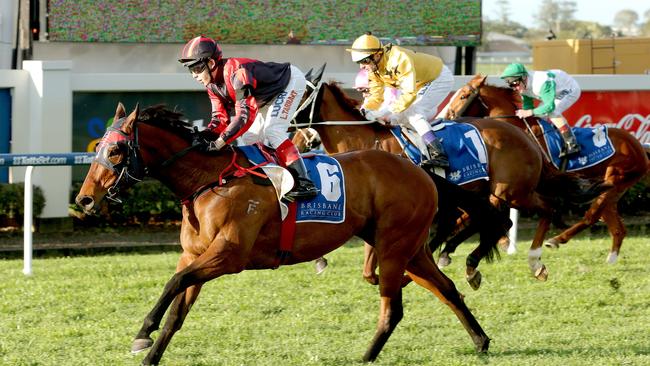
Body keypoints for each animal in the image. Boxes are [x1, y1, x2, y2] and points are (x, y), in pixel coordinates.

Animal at [73, 103, 486, 366]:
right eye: (100, 148)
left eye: (117, 149)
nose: (85, 200)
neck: (209, 180)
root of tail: (421, 171)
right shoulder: (196, 256)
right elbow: (177, 308)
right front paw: (150, 353)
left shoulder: (230, 255)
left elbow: (174, 283)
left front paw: (143, 331)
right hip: (409, 249)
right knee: (447, 289)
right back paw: (481, 341)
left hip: (393, 247)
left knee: (393, 308)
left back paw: (367, 356)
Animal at [288, 81, 604, 280]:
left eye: (299, 95)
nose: (297, 140)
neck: (366, 142)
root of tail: (524, 137)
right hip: (492, 193)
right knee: (501, 220)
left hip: (511, 192)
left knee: (539, 210)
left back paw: (533, 260)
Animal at [446, 74, 648, 264]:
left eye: (463, 95)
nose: (447, 116)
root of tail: (639, 146)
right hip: (611, 189)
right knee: (616, 226)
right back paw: (611, 259)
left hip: (614, 179)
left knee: (591, 216)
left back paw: (557, 240)